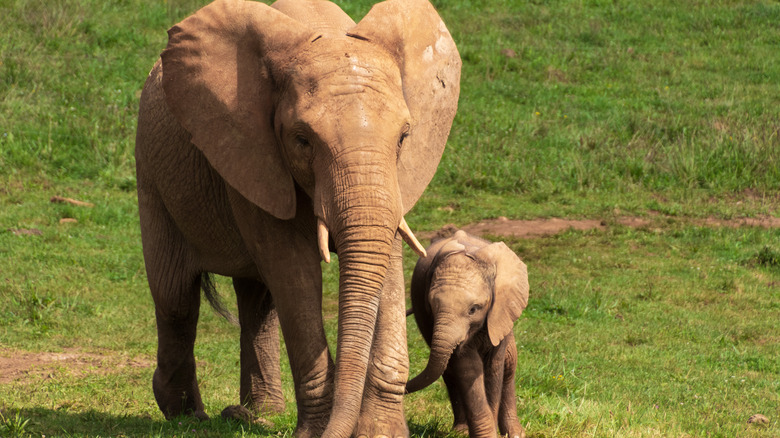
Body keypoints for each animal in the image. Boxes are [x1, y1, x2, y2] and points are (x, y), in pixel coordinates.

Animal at [136, 0, 460, 436]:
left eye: (404, 137)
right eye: (302, 140)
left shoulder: (396, 181)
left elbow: (387, 260)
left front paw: (380, 432)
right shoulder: (253, 152)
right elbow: (293, 268)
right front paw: (316, 432)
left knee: (257, 300)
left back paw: (258, 412)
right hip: (151, 174)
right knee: (176, 297)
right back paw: (187, 413)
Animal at [406, 231, 528, 436]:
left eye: (473, 309)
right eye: (431, 307)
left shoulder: (499, 311)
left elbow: (494, 368)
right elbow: (468, 367)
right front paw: (485, 434)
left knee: (510, 365)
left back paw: (516, 434)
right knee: (450, 373)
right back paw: (460, 432)